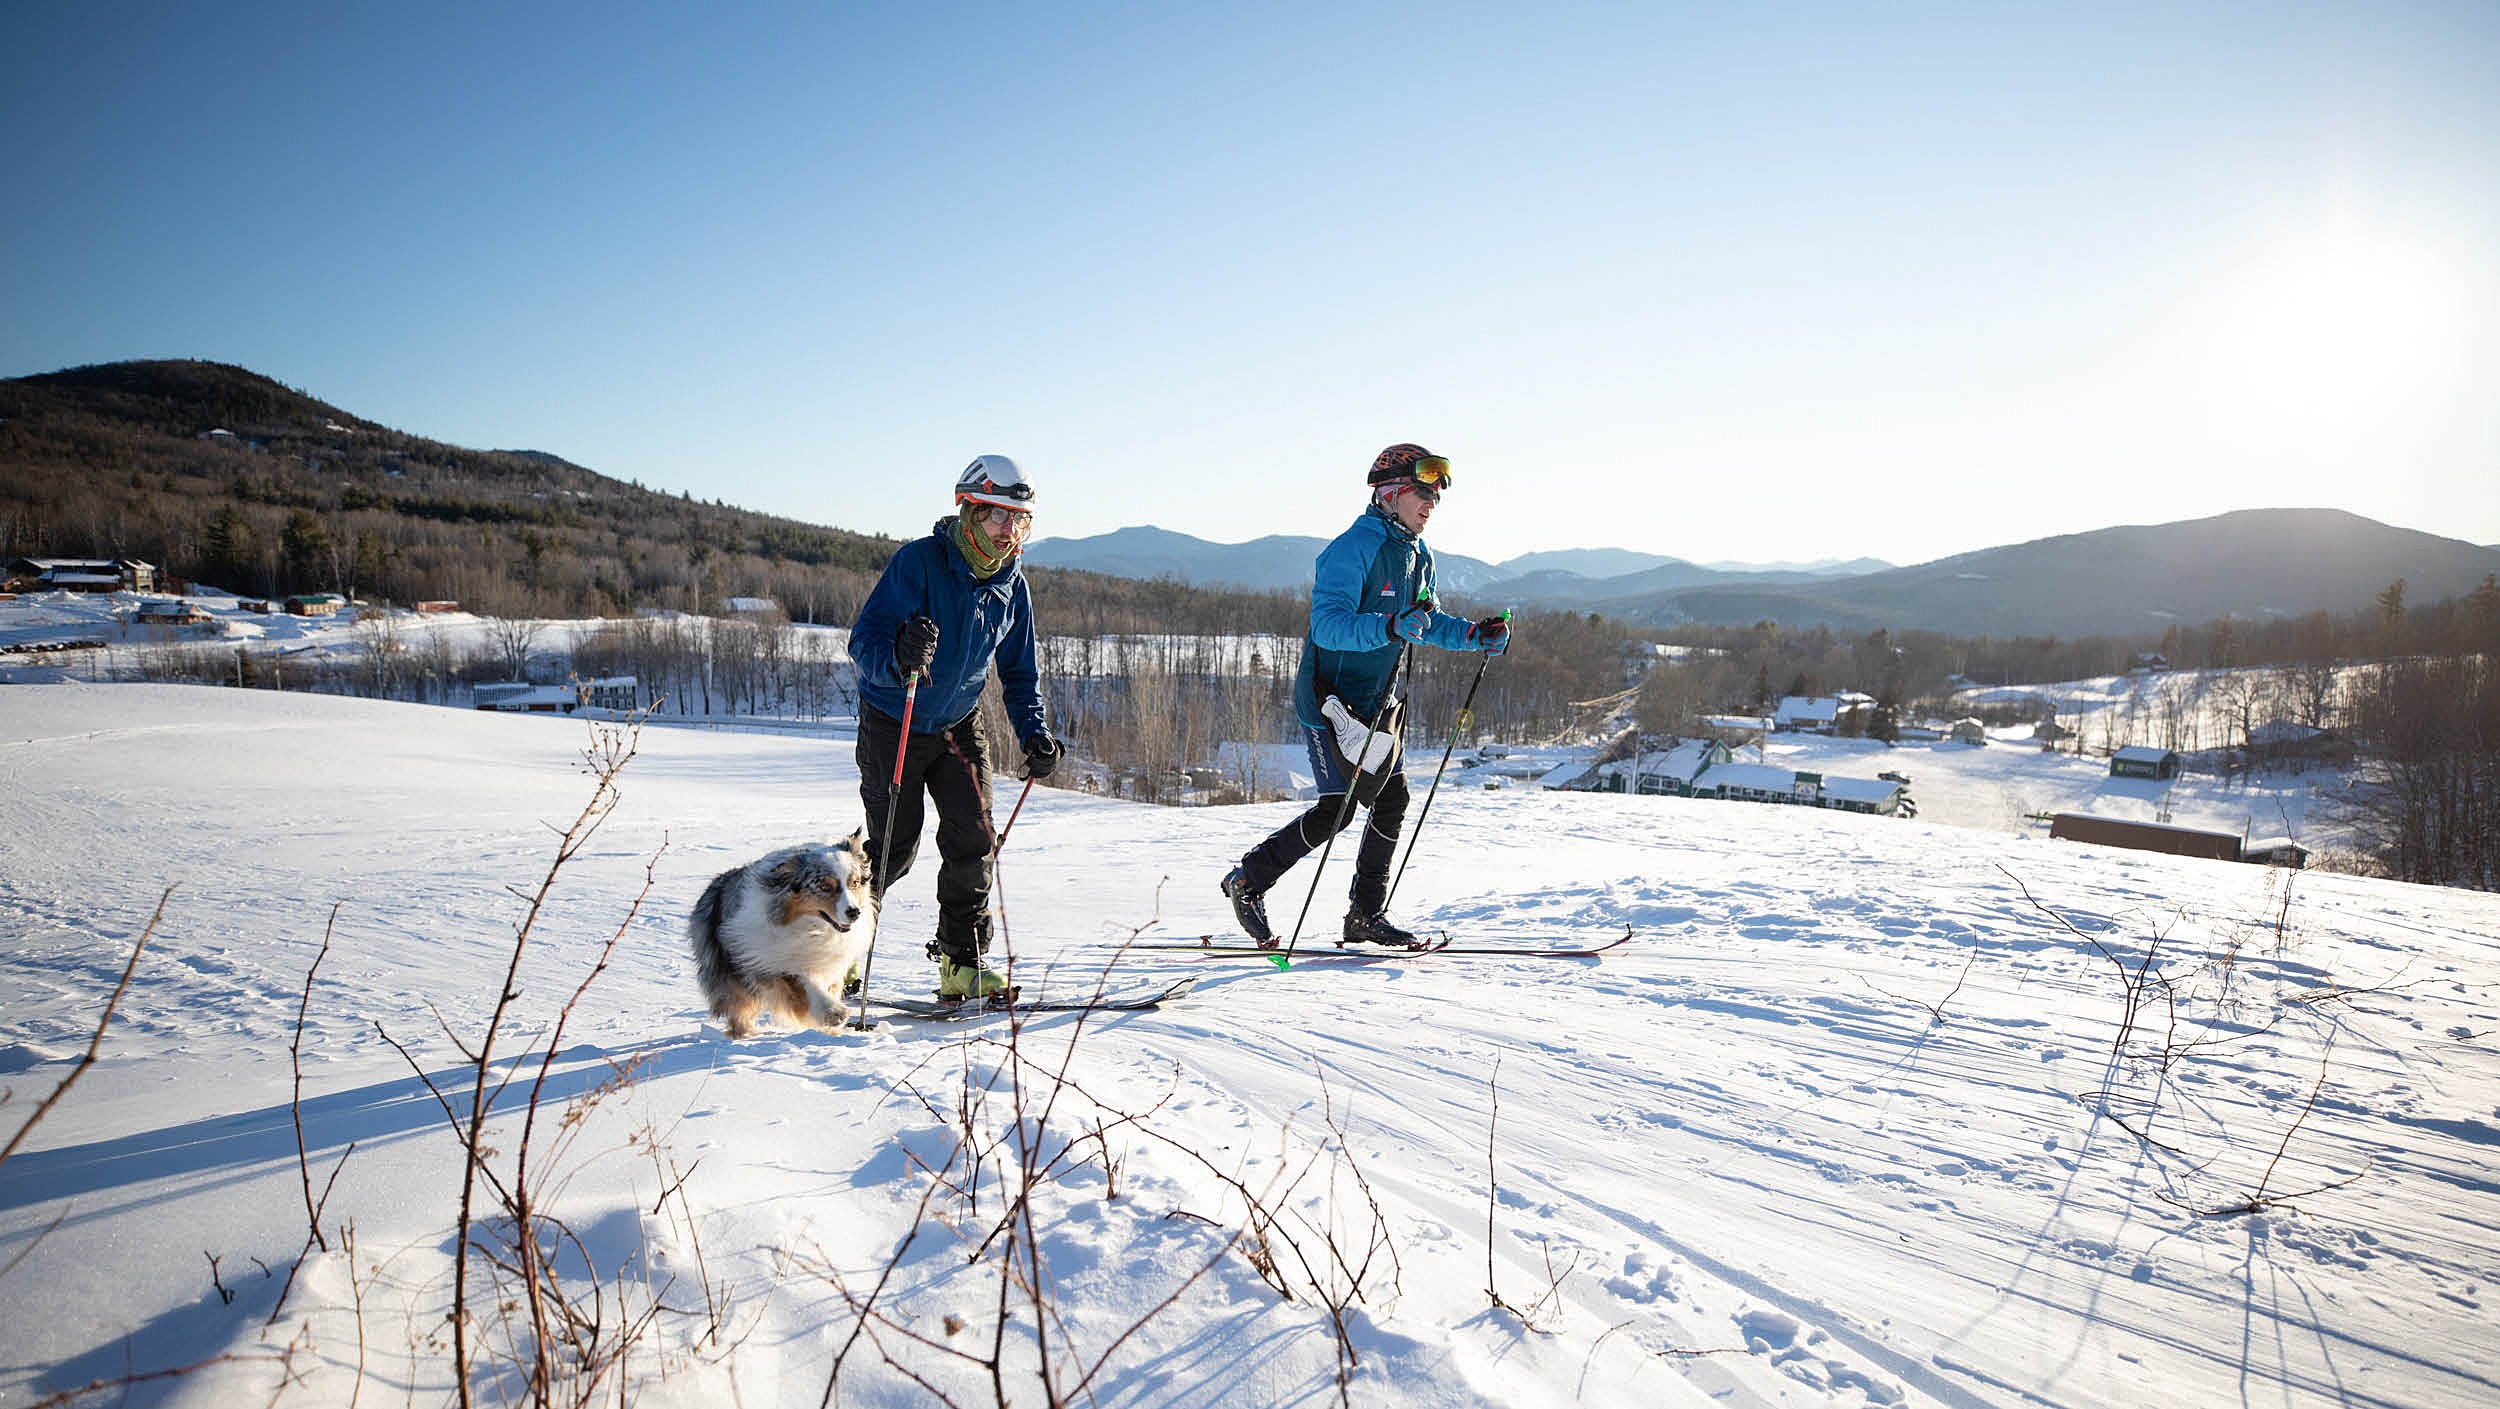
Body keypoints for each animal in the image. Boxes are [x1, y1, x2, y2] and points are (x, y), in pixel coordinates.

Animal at [685, 829, 880, 1039]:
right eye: (825, 887)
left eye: (855, 883)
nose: (854, 912)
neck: (812, 928)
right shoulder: (771, 962)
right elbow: (806, 983)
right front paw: (834, 1013)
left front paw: (830, 1028)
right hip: (731, 970)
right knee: (739, 1009)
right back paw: (744, 1036)